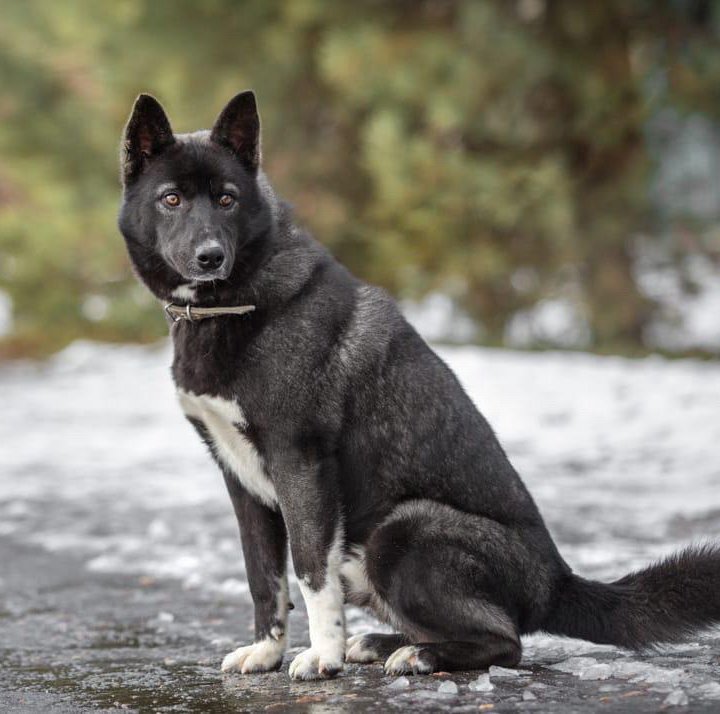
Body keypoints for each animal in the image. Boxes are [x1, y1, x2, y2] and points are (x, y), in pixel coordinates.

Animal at [118, 90, 720, 680]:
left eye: (227, 199)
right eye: (171, 199)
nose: (210, 258)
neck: (233, 303)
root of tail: (555, 582)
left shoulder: (300, 467)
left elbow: (310, 573)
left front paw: (323, 658)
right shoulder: (241, 482)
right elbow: (262, 577)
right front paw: (267, 653)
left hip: (402, 531)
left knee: (506, 644)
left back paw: (414, 656)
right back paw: (379, 644)